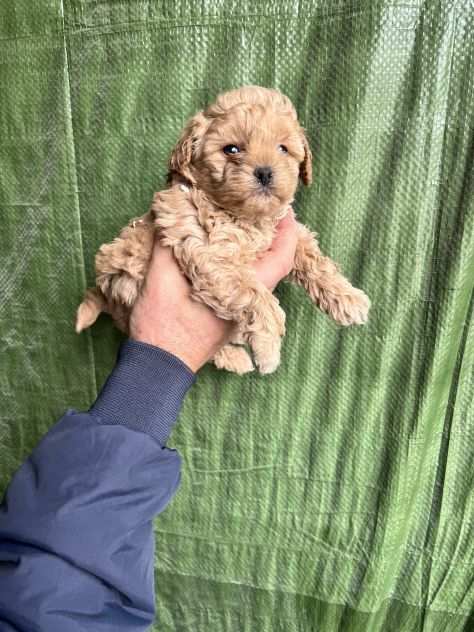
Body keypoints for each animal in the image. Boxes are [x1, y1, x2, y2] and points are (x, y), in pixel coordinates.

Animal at [75, 84, 370, 372]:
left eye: (283, 149)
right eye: (231, 149)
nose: (265, 172)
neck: (245, 217)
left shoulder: (290, 230)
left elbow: (315, 260)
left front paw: (348, 298)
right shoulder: (208, 251)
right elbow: (253, 292)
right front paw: (268, 346)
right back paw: (236, 358)